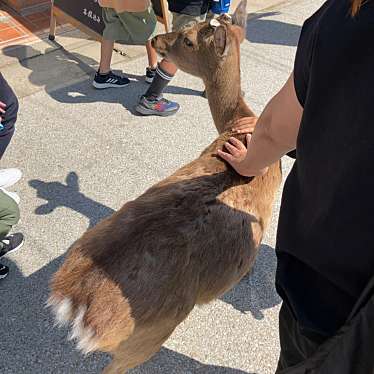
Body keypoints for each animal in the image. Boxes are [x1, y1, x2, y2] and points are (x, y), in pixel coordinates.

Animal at [46, 1, 280, 372]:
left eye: (188, 39)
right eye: (190, 30)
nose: (157, 39)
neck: (241, 125)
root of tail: (73, 302)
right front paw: (247, 273)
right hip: (149, 334)